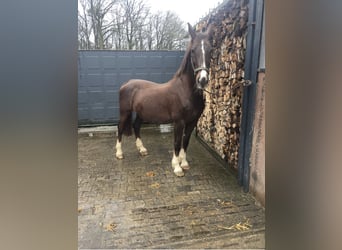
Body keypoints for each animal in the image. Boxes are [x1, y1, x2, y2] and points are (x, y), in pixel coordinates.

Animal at [116, 22, 215, 177]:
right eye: (193, 51)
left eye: (211, 50)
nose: (203, 80)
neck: (185, 91)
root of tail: (126, 83)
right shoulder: (179, 122)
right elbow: (177, 142)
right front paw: (177, 167)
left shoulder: (192, 122)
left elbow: (186, 141)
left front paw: (184, 163)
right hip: (124, 112)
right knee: (120, 127)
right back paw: (119, 153)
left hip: (141, 113)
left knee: (136, 126)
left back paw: (142, 150)